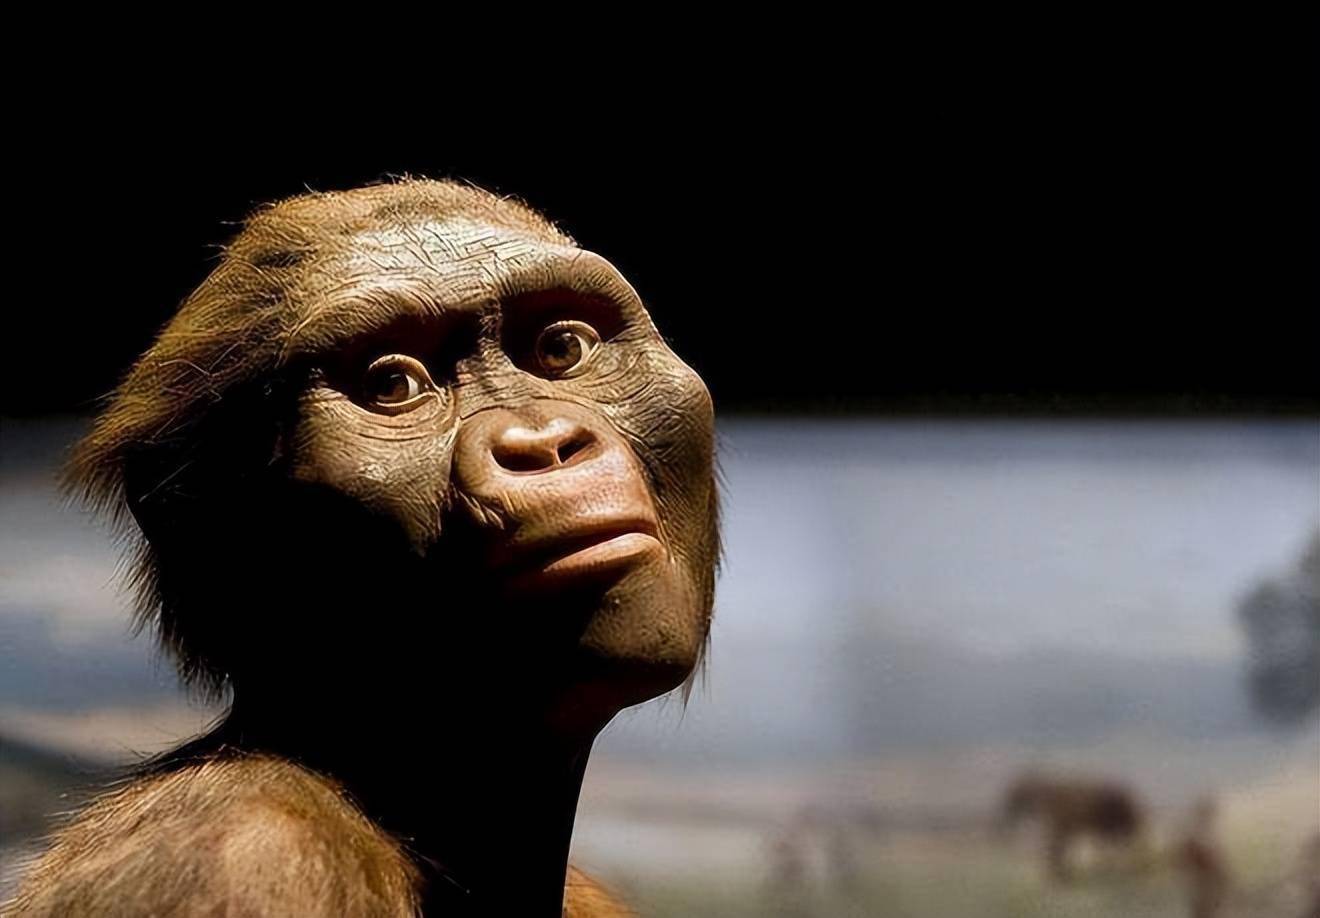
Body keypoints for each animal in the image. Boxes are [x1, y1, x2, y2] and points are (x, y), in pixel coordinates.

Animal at [999, 771, 1146, 882]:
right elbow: (1056, 850)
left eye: (1014, 795)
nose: (1006, 816)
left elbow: (1056, 850)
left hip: (1119, 827)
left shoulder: (1063, 827)